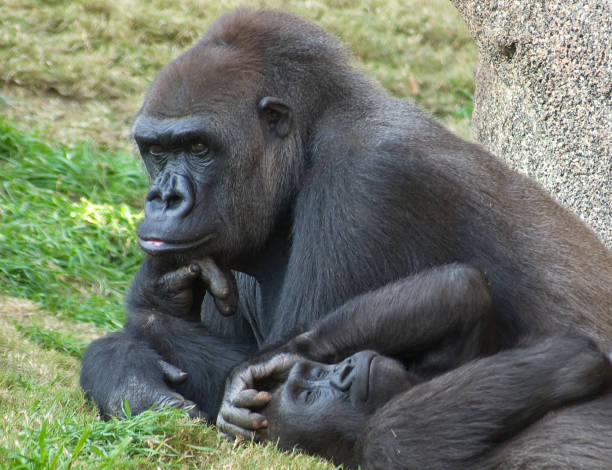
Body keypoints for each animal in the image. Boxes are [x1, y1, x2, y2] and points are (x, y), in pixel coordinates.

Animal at [81, 6, 612, 436]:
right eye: (156, 151)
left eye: (198, 148)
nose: (163, 198)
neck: (313, 134)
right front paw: (129, 366)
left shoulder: (367, 179)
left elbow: (278, 386)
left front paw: (146, 310)